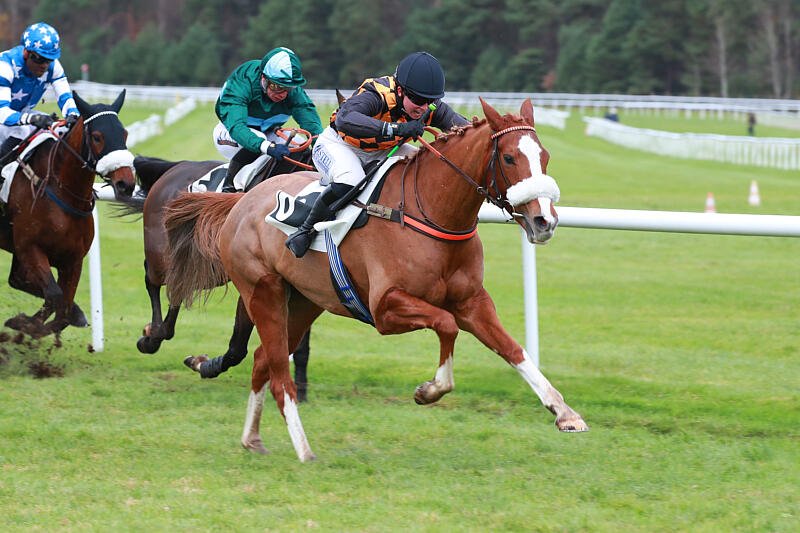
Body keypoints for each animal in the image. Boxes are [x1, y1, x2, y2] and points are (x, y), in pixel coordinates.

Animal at [0, 90, 136, 338]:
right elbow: (54, 295)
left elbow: (62, 310)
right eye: (98, 137)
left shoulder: (72, 259)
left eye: (124, 133)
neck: (62, 193)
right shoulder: (29, 248)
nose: (126, 184)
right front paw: (24, 324)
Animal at [118, 131, 313, 398]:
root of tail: (177, 167)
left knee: (178, 291)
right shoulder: (255, 281)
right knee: (154, 280)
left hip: (203, 266)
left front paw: (300, 387)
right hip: (165, 254)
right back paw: (152, 336)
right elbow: (239, 346)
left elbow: (297, 342)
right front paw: (205, 365)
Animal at [163, 98, 587, 462]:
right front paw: (429, 390)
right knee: (280, 376)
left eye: (545, 157)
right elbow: (446, 325)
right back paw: (304, 449)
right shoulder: (385, 307)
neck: (430, 211)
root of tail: (241, 201)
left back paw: (252, 438)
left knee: (261, 362)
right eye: (510, 157)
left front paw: (564, 412)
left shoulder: (473, 302)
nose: (544, 222)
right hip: (261, 291)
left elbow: (513, 349)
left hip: (303, 302)